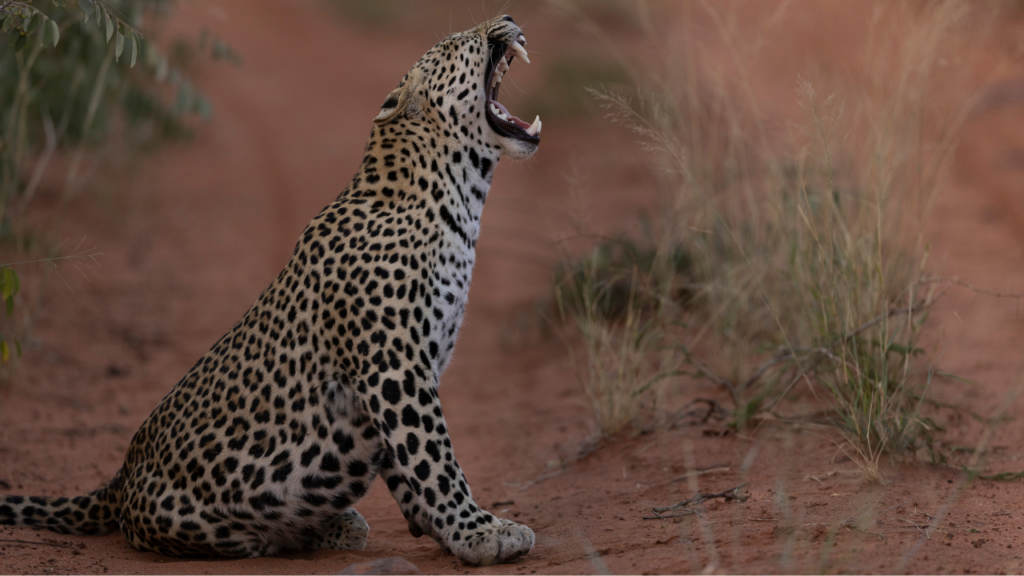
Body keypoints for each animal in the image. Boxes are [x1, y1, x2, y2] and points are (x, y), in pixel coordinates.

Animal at [0, 15, 542, 566]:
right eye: (458, 42)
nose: (508, 19)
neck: (460, 197)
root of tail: (123, 470)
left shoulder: (406, 372)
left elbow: (410, 464)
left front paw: (448, 529)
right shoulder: (394, 367)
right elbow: (433, 457)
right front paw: (480, 531)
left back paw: (337, 525)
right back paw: (291, 532)